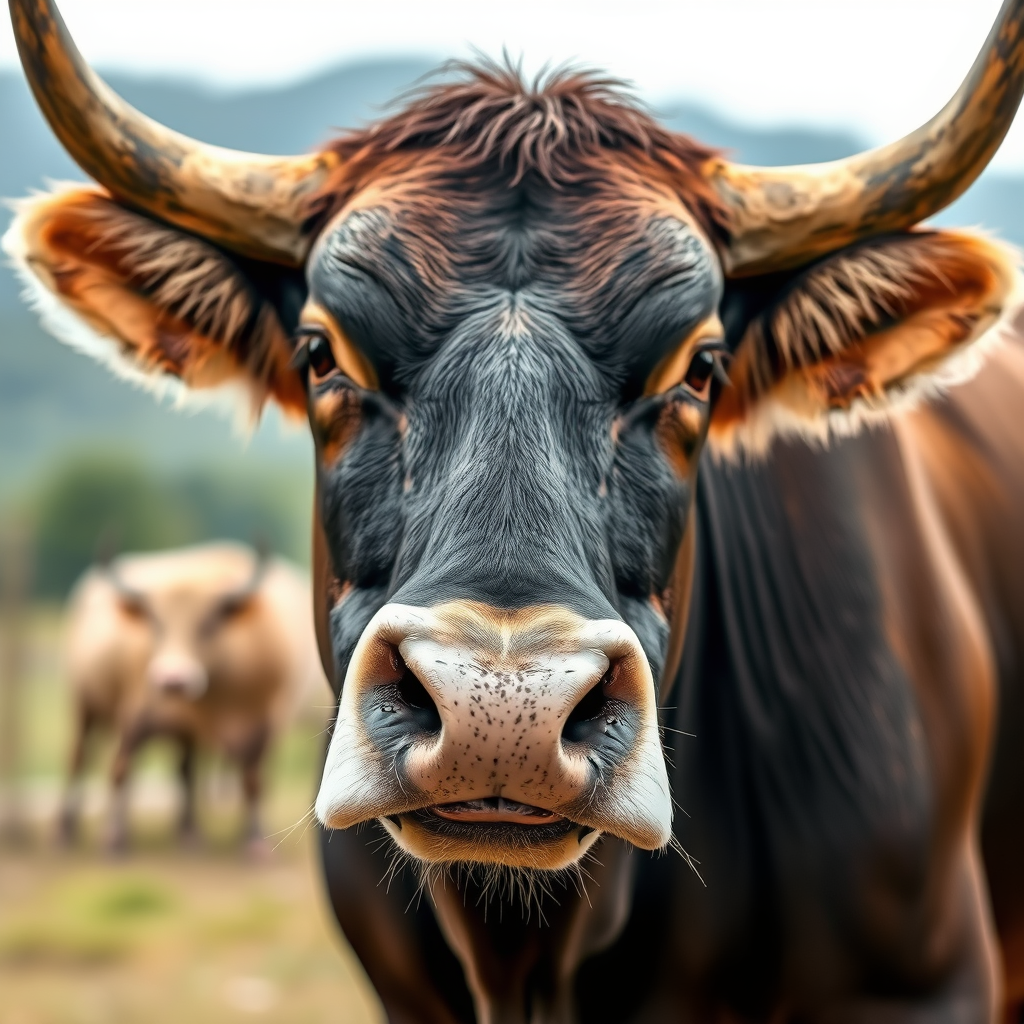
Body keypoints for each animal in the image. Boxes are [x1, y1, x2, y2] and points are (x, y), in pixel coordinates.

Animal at [60, 542, 322, 854]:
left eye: (209, 623)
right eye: (156, 623)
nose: (173, 680)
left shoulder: (263, 723)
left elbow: (252, 779)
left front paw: (254, 838)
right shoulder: (135, 716)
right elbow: (120, 769)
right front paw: (114, 836)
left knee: (185, 772)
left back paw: (188, 831)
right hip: (84, 704)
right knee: (80, 757)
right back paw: (66, 827)